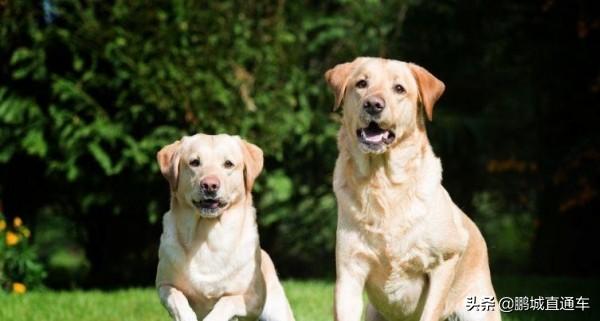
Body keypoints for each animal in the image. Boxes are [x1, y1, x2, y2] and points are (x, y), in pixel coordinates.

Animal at [155, 133, 296, 320]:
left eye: (228, 164)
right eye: (194, 162)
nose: (210, 185)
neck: (207, 237)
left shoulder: (254, 298)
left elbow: (227, 301)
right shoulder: (164, 285)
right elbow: (178, 299)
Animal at [326, 57, 500, 320]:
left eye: (399, 88)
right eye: (362, 83)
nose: (373, 104)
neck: (383, 183)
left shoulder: (445, 260)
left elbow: (431, 311)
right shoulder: (349, 272)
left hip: (476, 308)